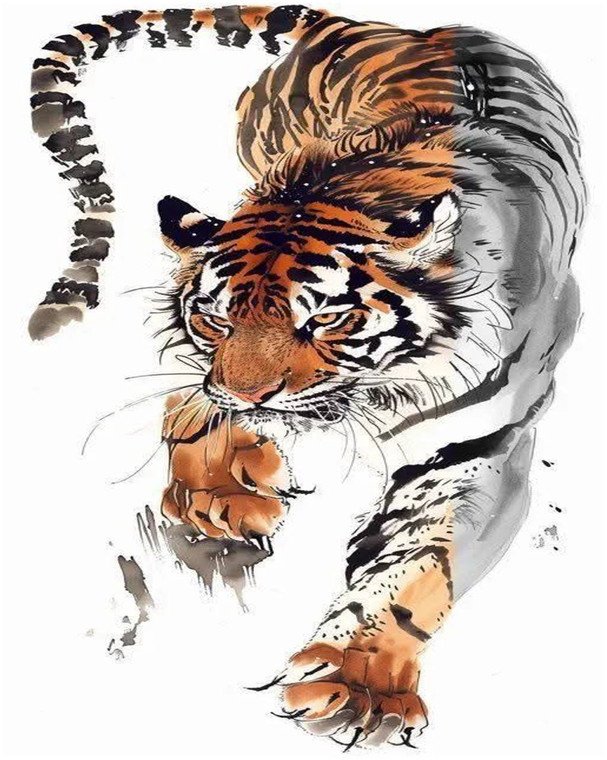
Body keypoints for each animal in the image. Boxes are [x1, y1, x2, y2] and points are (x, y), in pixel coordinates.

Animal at [29, 4, 585, 749]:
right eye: (216, 319)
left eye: (325, 319)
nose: (246, 392)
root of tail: (383, 26)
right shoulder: (207, 370)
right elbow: (189, 408)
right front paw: (223, 495)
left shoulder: (477, 450)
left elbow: (413, 569)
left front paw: (357, 684)